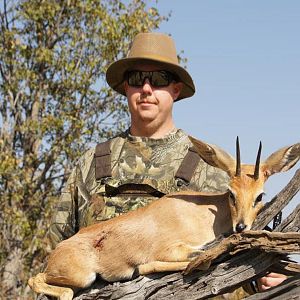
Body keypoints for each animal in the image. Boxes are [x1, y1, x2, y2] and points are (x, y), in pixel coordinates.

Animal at [28, 137, 300, 298]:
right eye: (231, 193)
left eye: (259, 195)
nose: (241, 226)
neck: (207, 213)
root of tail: (56, 251)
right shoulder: (170, 249)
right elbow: (197, 259)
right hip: (80, 276)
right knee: (39, 280)